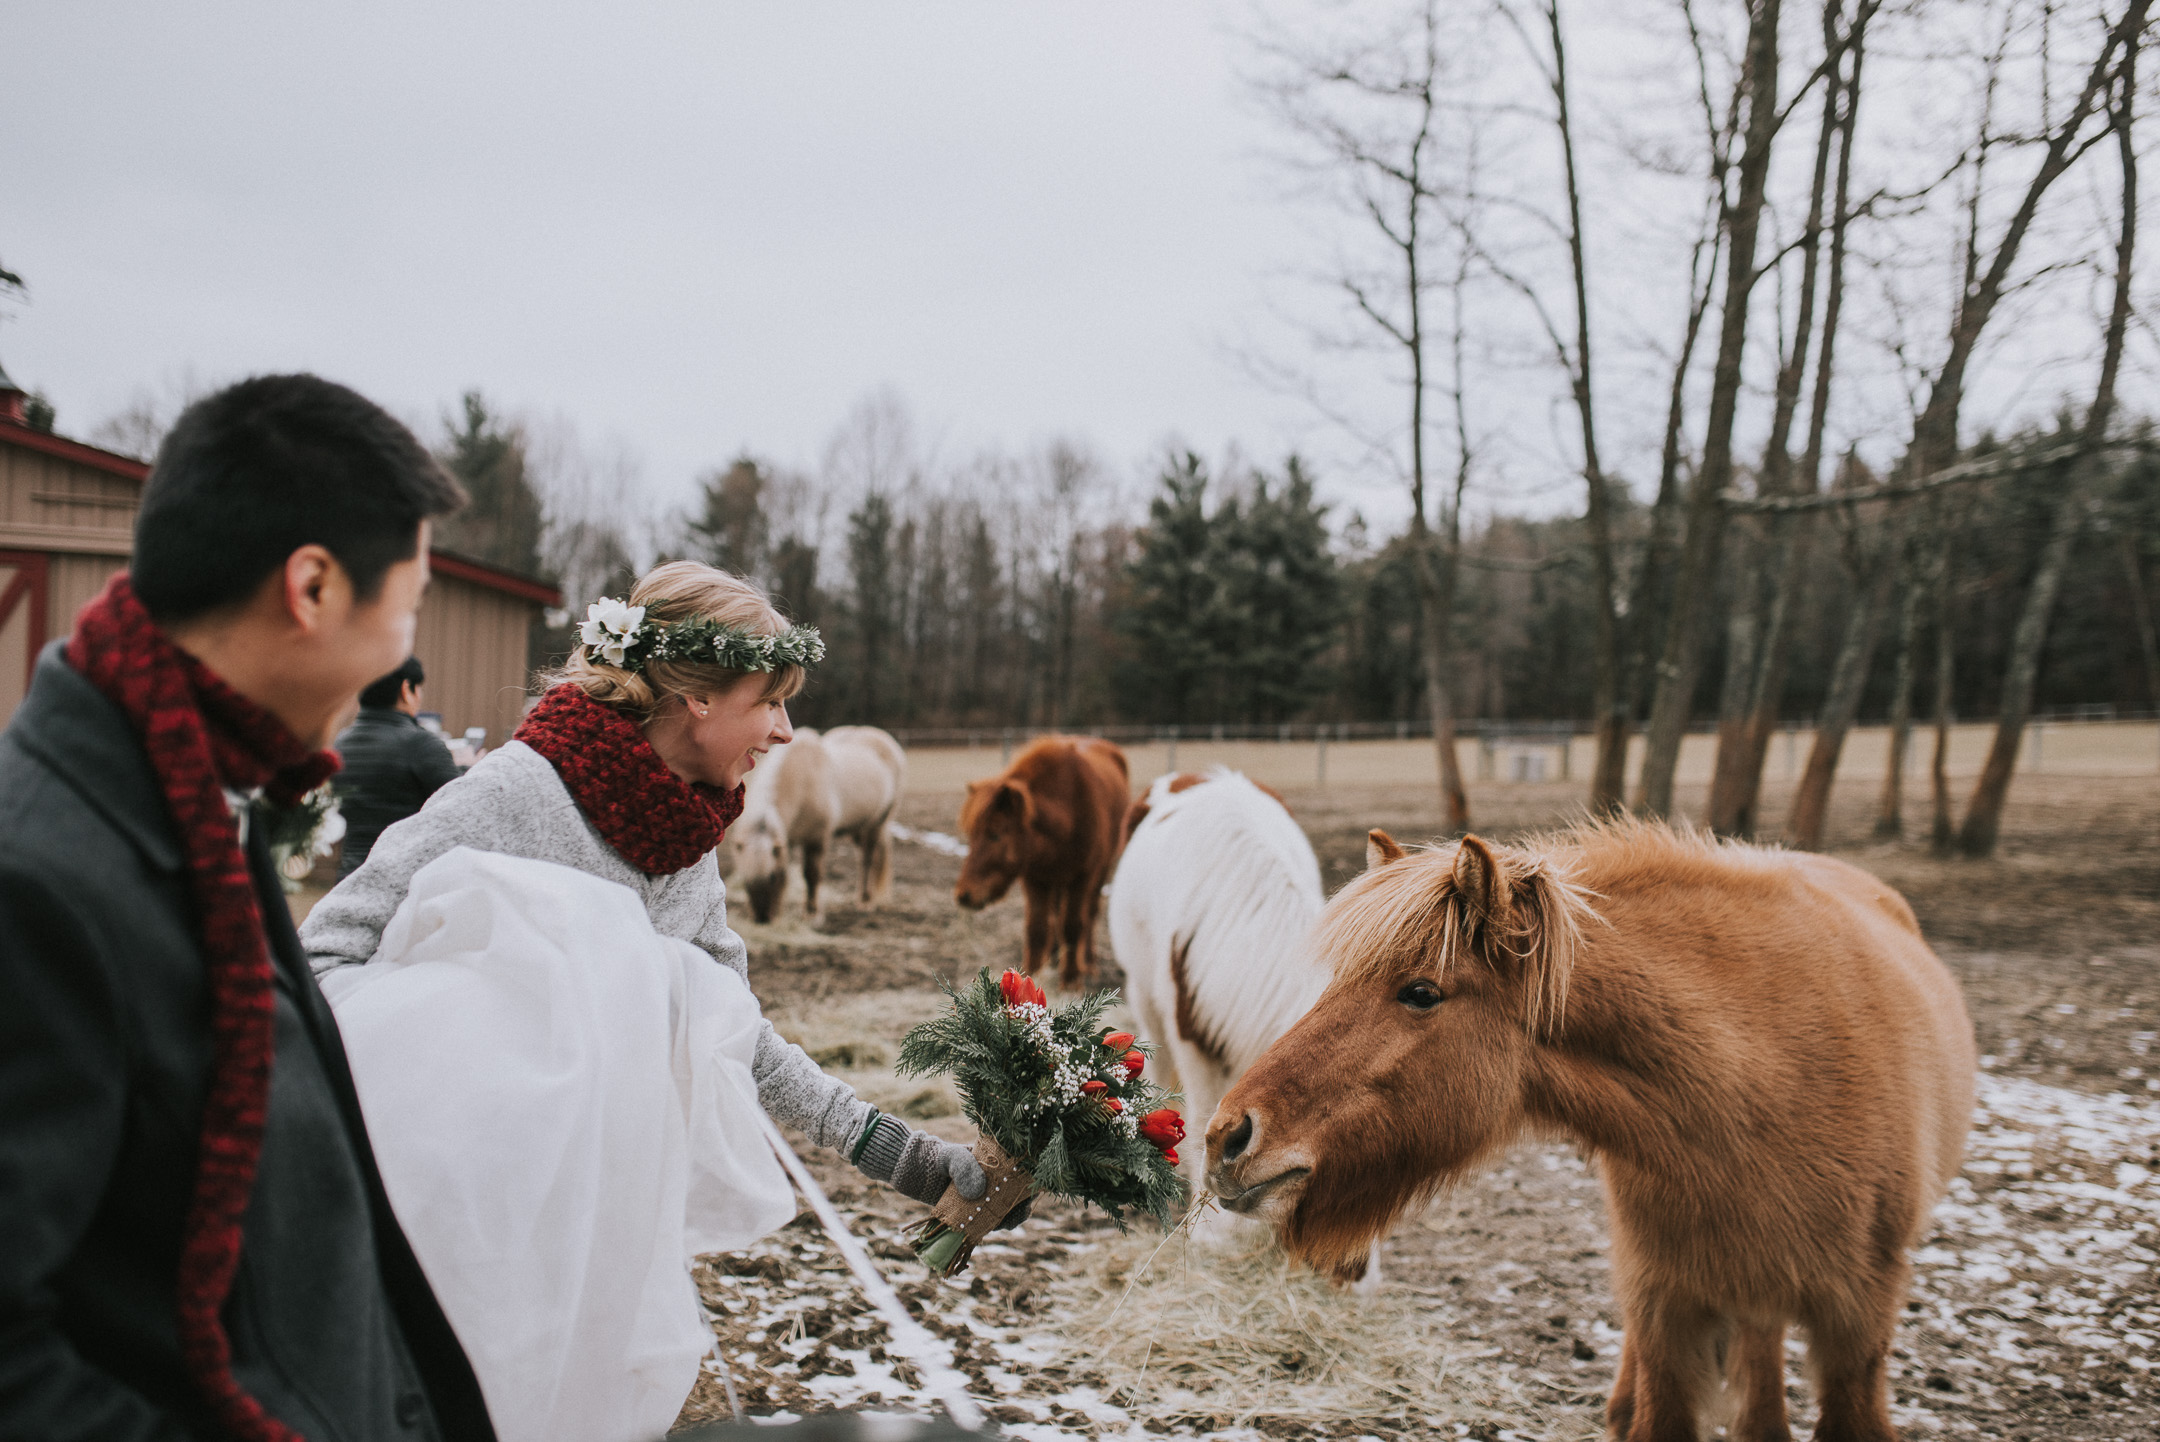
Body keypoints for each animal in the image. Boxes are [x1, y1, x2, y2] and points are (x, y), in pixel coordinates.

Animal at [717, 721, 902, 923]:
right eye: (744, 879)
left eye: (772, 877)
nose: (762, 918)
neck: (802, 782)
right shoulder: (787, 841)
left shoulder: (816, 840)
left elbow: (811, 875)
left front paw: (812, 913)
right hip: (858, 828)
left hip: (876, 824)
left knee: (868, 860)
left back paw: (866, 901)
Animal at [959, 733, 1131, 992]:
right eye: (971, 834)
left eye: (995, 834)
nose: (964, 895)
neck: (1068, 812)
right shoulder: (1035, 879)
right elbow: (1037, 928)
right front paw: (1032, 973)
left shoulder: (1082, 878)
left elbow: (1072, 925)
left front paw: (1071, 979)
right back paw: (1054, 958)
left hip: (1098, 873)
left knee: (1088, 915)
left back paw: (1088, 964)